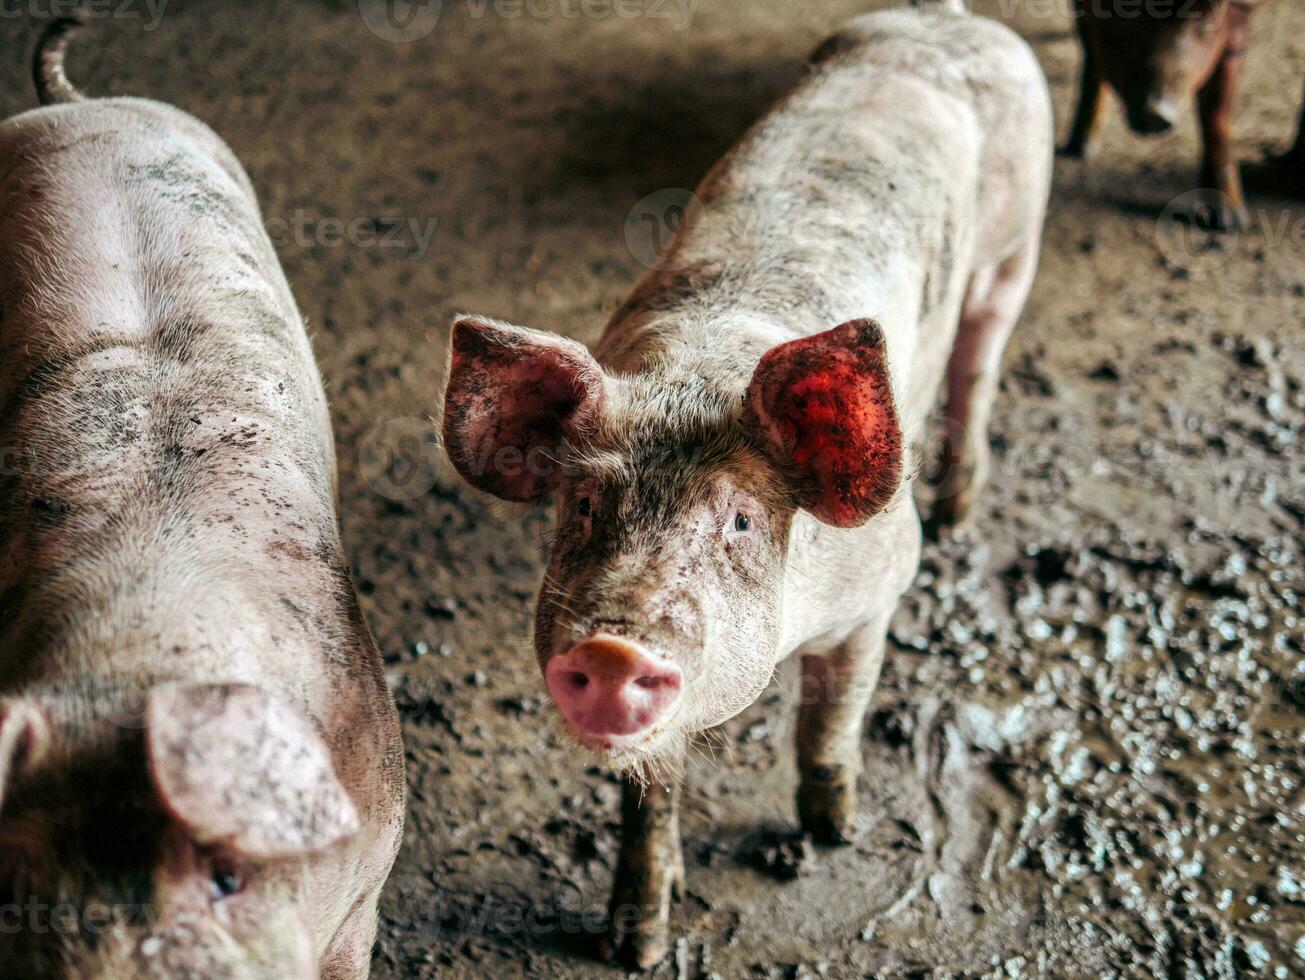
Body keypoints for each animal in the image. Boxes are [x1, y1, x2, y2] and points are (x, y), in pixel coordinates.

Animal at [438, 0, 1049, 970]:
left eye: (739, 522)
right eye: (584, 505)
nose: (611, 648)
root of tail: (943, 20)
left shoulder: (880, 588)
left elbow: (828, 723)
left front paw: (833, 833)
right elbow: (649, 799)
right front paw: (634, 945)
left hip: (1013, 244)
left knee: (979, 361)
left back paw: (959, 509)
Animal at [1059, 0, 1263, 230]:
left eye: (1201, 20)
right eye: (1126, 13)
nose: (1155, 112)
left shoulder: (1237, 19)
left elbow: (1217, 109)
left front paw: (1230, 224)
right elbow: (1091, 46)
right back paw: (1081, 150)